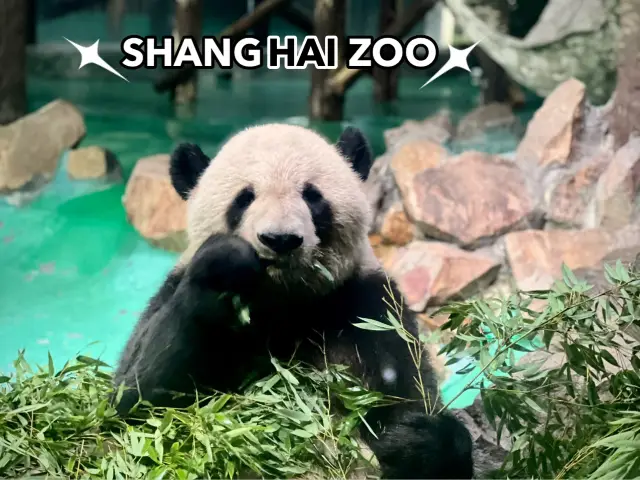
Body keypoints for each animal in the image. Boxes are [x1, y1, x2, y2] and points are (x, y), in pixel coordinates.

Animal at [112, 123, 474, 479]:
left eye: (312, 196)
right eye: (244, 198)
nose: (280, 239)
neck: (285, 301)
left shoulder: (370, 308)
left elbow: (408, 394)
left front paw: (413, 442)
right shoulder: (174, 294)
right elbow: (138, 407)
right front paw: (226, 264)